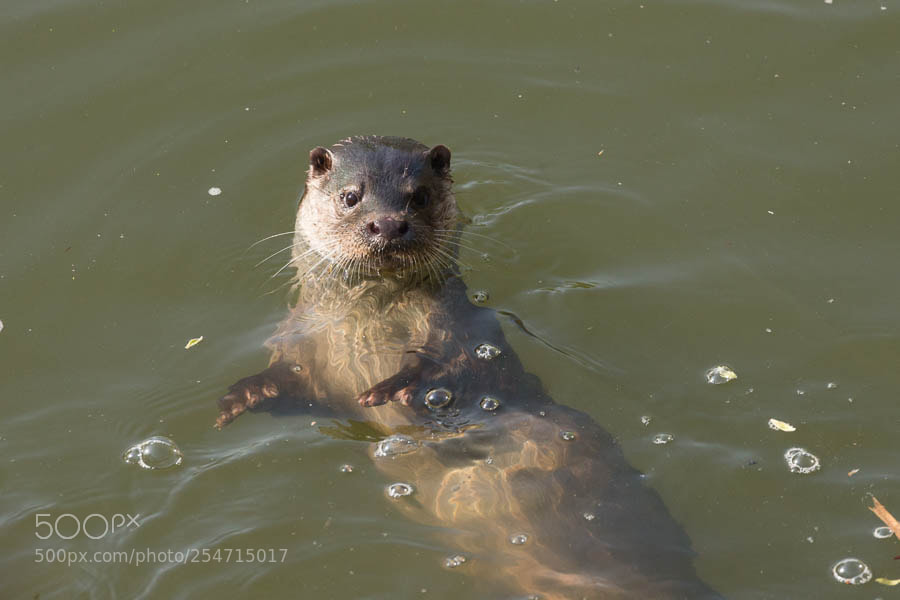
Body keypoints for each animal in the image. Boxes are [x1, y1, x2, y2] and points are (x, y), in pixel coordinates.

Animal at [215, 136, 719, 599]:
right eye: (351, 196)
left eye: (418, 195)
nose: (387, 224)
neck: (362, 331)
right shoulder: (300, 347)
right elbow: (290, 384)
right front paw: (241, 397)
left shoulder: (456, 329)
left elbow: (448, 363)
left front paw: (396, 386)